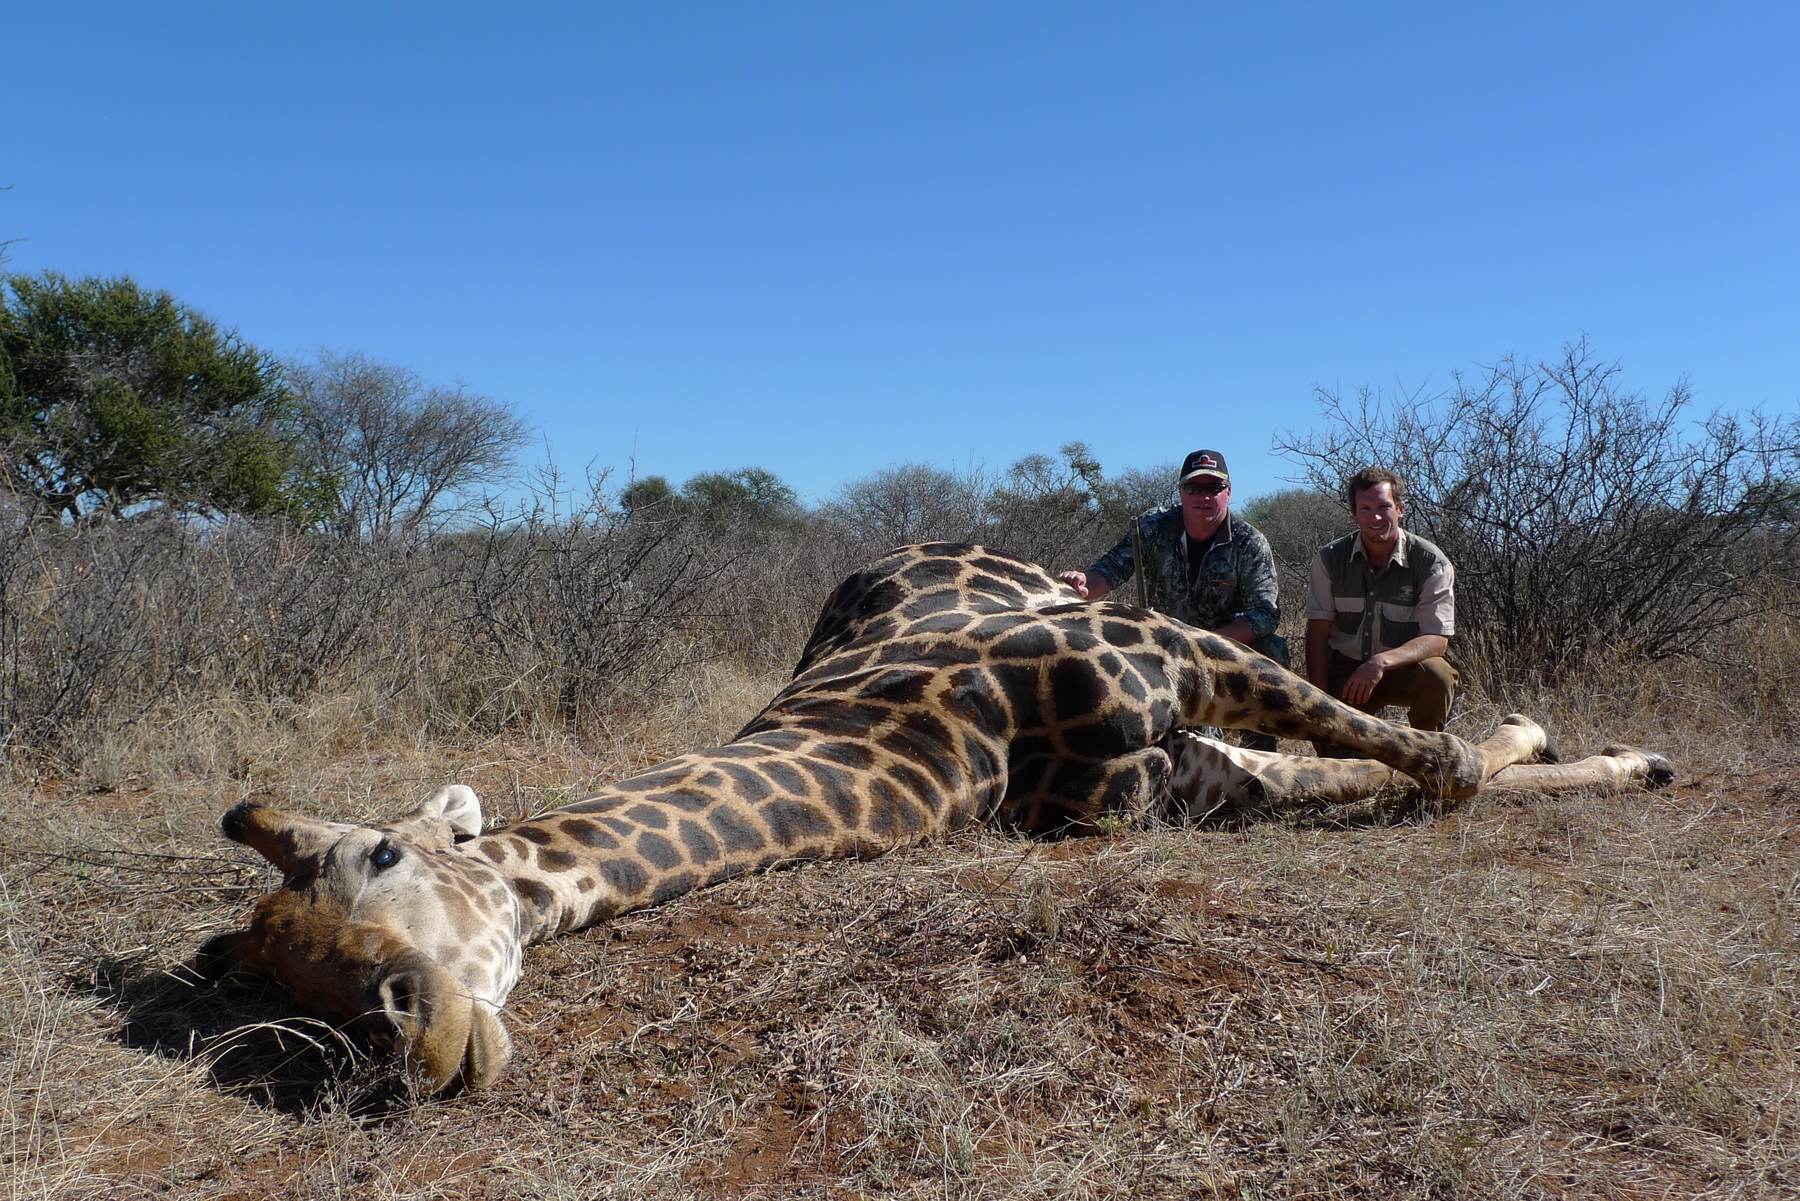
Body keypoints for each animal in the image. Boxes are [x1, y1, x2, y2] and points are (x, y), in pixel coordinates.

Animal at [199, 543, 1660, 1095]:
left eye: (382, 849)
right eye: (289, 990)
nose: (419, 1042)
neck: (940, 754)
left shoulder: (1175, 649)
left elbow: (1418, 755)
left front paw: (1544, 748)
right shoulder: (1150, 790)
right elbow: (1377, 771)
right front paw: (1581, 755)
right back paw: (1612, 753)